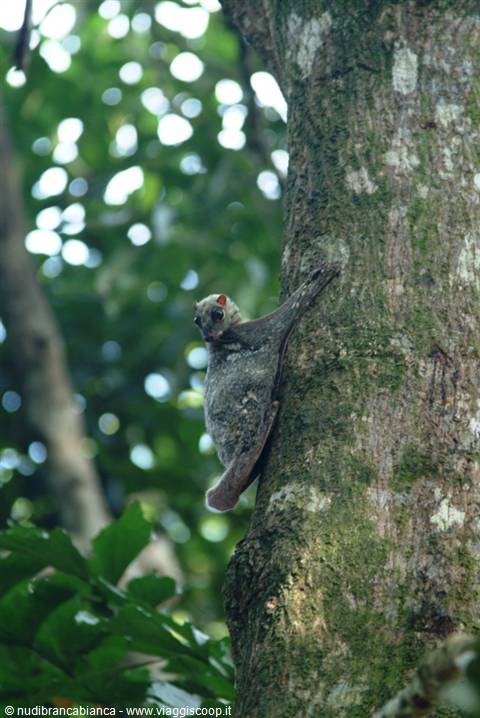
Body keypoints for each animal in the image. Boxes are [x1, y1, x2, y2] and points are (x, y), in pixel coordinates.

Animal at [193, 265, 339, 511]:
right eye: (197, 321)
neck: (225, 336)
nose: (208, 336)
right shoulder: (252, 333)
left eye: (217, 315)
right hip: (244, 419)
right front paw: (316, 280)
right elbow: (282, 319)